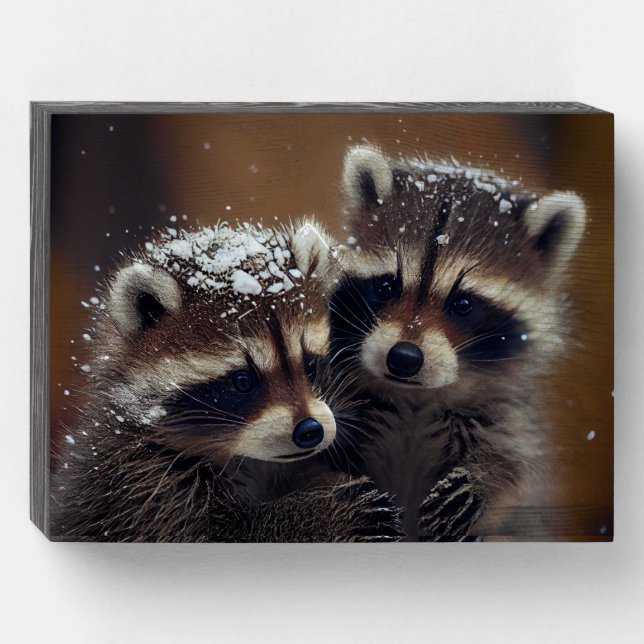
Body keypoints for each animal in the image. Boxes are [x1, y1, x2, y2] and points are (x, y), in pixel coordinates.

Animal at [51, 219, 402, 542]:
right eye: (242, 380)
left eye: (310, 365)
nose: (310, 431)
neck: (249, 459)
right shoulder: (140, 485)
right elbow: (227, 533)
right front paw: (320, 511)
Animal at [331, 145, 586, 540]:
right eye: (386, 287)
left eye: (463, 304)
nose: (404, 358)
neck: (415, 399)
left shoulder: (505, 412)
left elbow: (516, 464)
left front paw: (484, 476)